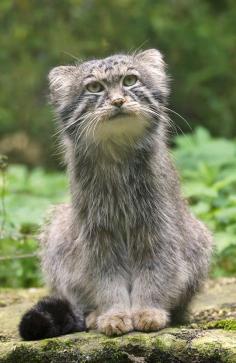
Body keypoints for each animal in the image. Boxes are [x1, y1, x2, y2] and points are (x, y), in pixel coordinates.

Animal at [19, 49, 213, 342]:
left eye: (130, 80)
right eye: (94, 87)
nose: (118, 100)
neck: (117, 156)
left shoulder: (158, 229)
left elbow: (155, 273)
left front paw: (147, 311)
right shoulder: (97, 236)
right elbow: (106, 281)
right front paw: (114, 314)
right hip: (57, 232)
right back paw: (93, 315)